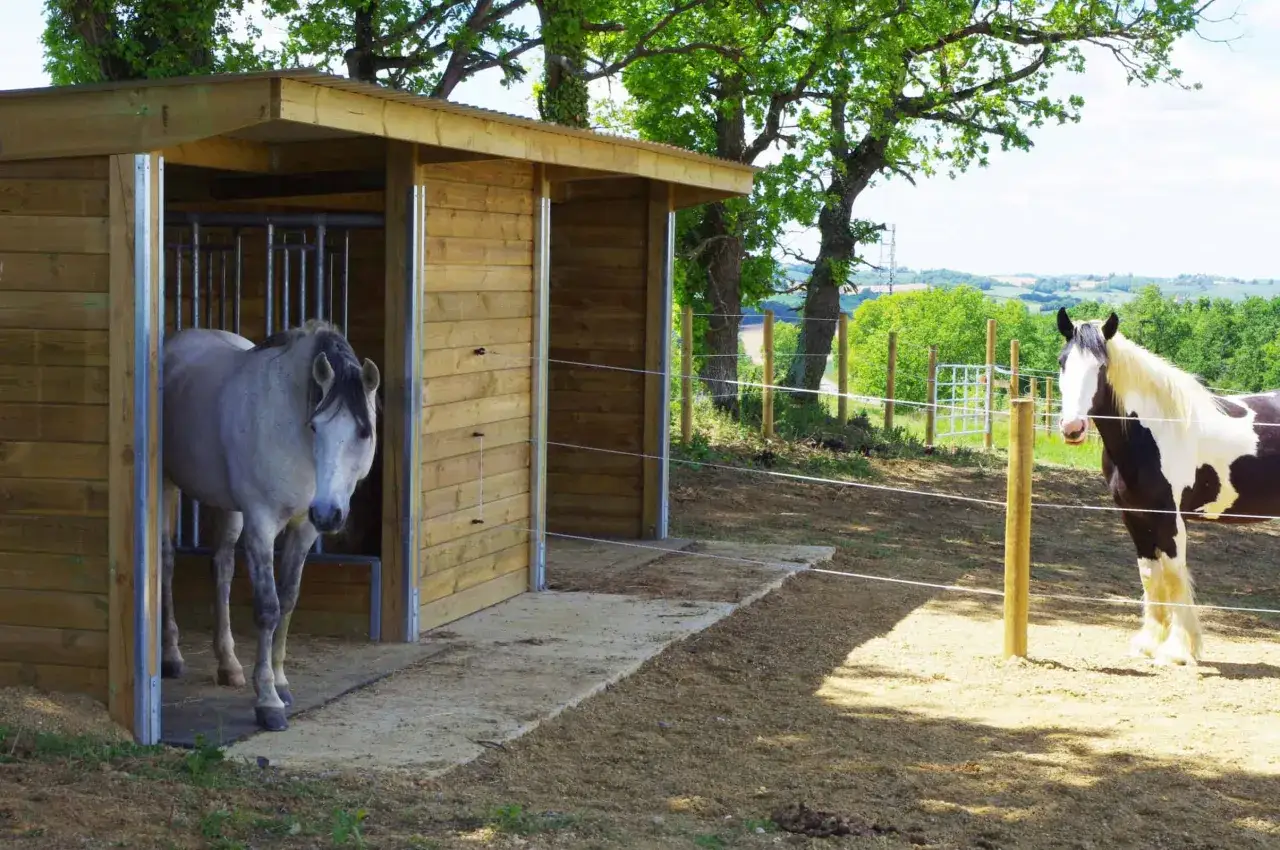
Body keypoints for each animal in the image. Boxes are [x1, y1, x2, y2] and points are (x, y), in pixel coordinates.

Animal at [159, 320, 380, 731]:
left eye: (364, 431)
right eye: (315, 426)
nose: (329, 514)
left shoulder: (304, 529)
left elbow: (289, 599)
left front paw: (280, 682)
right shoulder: (261, 524)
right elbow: (268, 607)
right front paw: (267, 702)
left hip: (230, 508)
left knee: (222, 567)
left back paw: (228, 665)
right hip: (166, 484)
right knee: (165, 562)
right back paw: (171, 656)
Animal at [1055, 307, 1280, 665]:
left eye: (1101, 366)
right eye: (1063, 361)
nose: (1072, 428)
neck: (1154, 431)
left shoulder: (1170, 518)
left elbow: (1174, 576)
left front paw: (1178, 650)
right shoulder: (1133, 516)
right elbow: (1150, 574)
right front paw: (1148, 643)